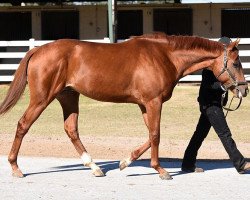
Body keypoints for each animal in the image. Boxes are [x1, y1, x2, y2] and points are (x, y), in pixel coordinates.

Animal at [0, 32, 247, 180]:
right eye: (236, 63)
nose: (243, 90)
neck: (164, 56)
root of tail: (38, 50)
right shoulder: (153, 102)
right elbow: (155, 134)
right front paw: (161, 170)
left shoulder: (145, 104)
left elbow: (150, 135)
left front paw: (125, 162)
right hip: (42, 98)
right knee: (23, 124)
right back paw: (15, 168)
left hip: (68, 96)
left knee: (71, 130)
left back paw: (94, 167)